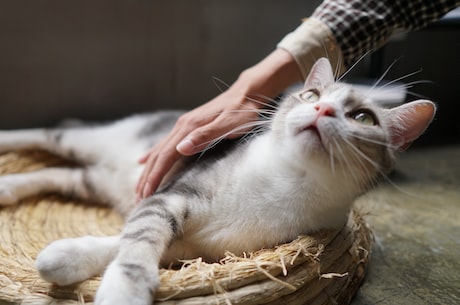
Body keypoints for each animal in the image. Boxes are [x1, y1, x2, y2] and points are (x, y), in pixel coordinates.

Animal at [0, 57, 434, 304]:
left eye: (363, 118)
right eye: (311, 95)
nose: (322, 109)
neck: (289, 181)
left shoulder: (198, 248)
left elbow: (124, 241)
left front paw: (65, 257)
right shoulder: (172, 196)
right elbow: (139, 242)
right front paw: (125, 290)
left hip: (96, 180)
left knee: (61, 173)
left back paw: (8, 188)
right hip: (89, 141)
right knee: (46, 134)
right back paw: (8, 139)